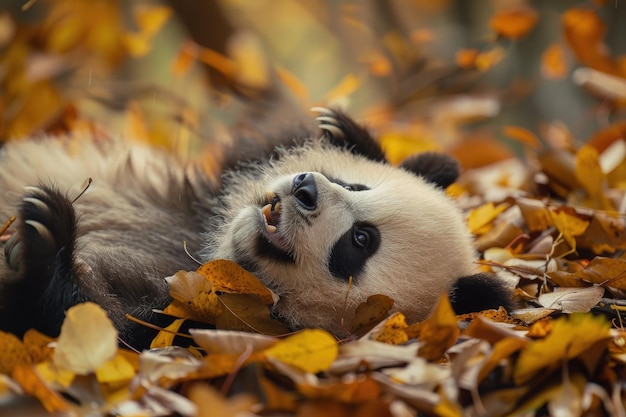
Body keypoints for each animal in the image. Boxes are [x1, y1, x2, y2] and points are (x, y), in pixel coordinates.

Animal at [0, 106, 510, 344]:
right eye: (356, 184)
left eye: (361, 240)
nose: (306, 187)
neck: (207, 250)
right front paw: (345, 131)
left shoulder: (206, 329)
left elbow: (94, 329)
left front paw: (43, 242)